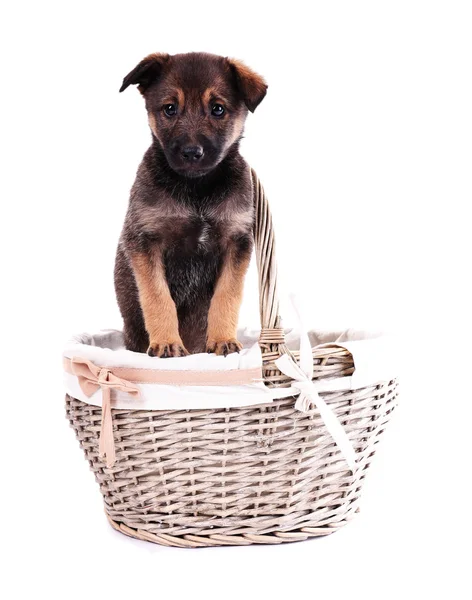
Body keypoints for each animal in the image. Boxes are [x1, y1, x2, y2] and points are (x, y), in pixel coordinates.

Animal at [114, 51, 268, 356]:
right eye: (170, 109)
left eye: (218, 109)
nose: (191, 153)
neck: (197, 189)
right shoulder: (145, 241)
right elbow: (158, 297)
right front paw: (166, 343)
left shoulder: (236, 241)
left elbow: (227, 296)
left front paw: (222, 340)